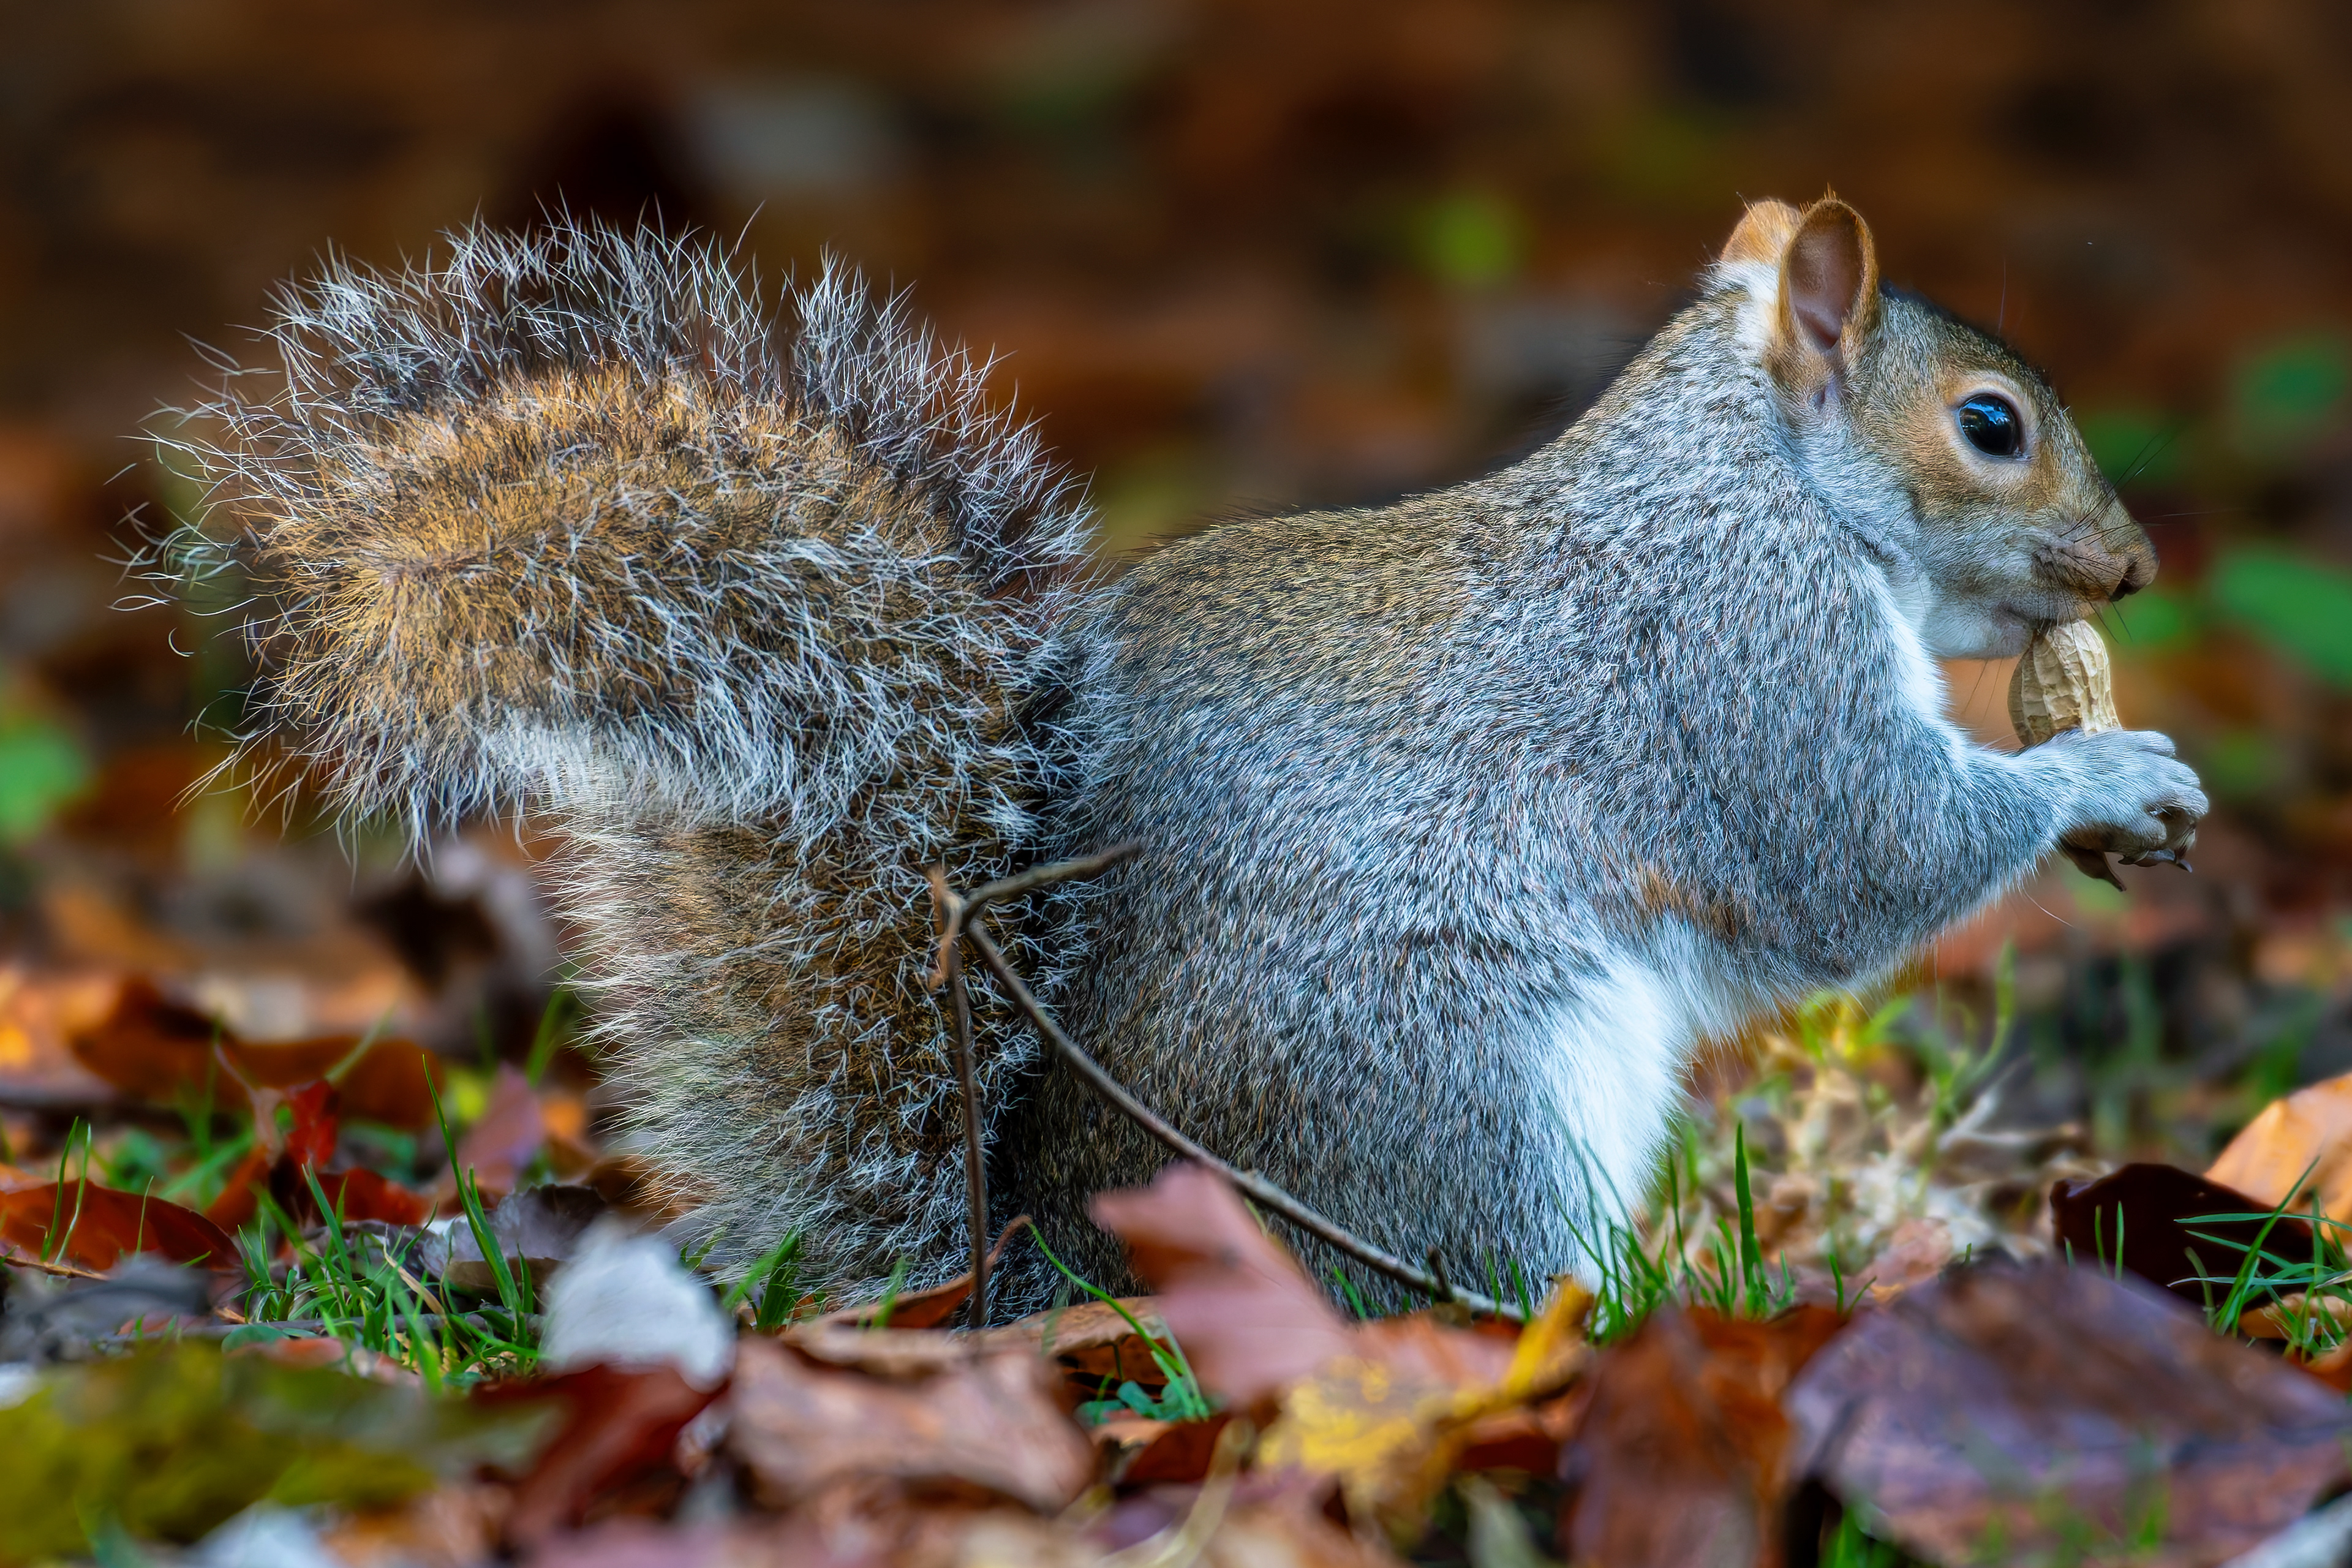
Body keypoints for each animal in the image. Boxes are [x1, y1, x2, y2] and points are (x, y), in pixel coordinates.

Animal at [162, 196, 2205, 1312]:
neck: (1757, 470)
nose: (2131, 569)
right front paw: (2107, 782)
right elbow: (1862, 851)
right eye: (1992, 424)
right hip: (1451, 1075)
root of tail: (1039, 1269)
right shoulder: (1744, 648)